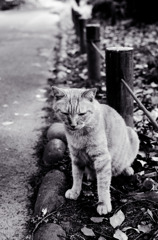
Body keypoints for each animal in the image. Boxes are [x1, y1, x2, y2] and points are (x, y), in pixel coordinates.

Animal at [51, 86, 139, 216]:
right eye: (65, 113)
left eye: (81, 114)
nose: (73, 125)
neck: (78, 135)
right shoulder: (76, 157)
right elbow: (76, 176)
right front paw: (75, 191)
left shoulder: (102, 158)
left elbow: (103, 185)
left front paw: (103, 204)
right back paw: (91, 175)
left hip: (133, 135)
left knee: (126, 163)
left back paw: (127, 170)